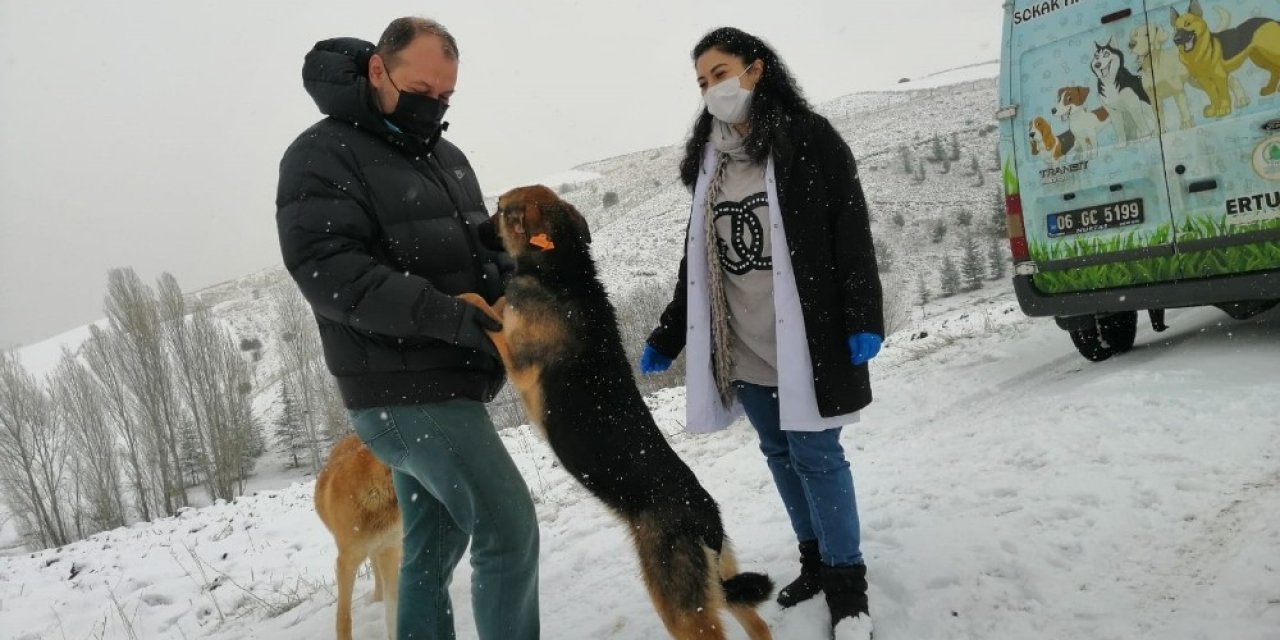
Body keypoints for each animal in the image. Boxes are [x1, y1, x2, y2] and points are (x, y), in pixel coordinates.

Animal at [465, 185, 773, 640]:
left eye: (501, 210)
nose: (475, 229)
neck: (565, 268)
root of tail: (705, 518)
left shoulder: (516, 357)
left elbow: (486, 307)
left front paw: (463, 298)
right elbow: (497, 302)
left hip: (677, 601)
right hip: (719, 580)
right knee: (756, 620)